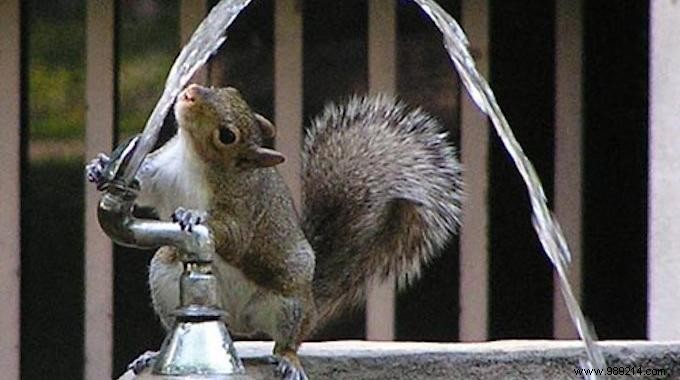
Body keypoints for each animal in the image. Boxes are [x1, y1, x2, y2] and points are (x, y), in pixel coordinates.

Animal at [87, 84, 464, 380]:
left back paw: (288, 359)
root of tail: (239, 321)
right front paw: (99, 166)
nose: (191, 91)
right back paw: (154, 353)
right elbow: (142, 186)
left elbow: (234, 236)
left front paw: (193, 214)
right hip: (165, 272)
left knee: (288, 340)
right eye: (227, 89)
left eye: (227, 135)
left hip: (289, 301)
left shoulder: (244, 208)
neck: (193, 158)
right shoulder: (160, 173)